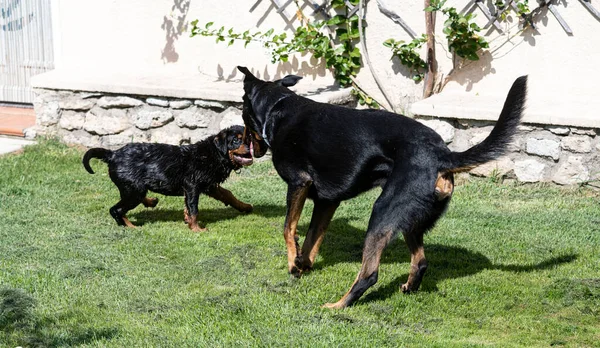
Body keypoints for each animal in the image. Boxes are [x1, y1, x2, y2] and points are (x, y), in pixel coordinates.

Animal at [82, 125, 255, 231]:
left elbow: (228, 194)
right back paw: (131, 227)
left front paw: (245, 206)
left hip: (133, 188)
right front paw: (197, 229)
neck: (215, 154)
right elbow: (194, 208)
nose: (249, 146)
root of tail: (113, 154)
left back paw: (150, 202)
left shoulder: (209, 185)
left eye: (249, 138)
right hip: (134, 191)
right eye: (236, 140)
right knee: (116, 209)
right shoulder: (193, 185)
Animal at [237, 66, 528, 308]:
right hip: (410, 218)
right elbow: (313, 237)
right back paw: (408, 287)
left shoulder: (299, 183)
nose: (245, 147)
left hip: (383, 211)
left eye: (242, 112)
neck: (279, 107)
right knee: (420, 262)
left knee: (370, 274)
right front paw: (302, 264)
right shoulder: (327, 201)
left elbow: (289, 228)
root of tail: (443, 155)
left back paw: (338, 305)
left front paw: (292, 264)